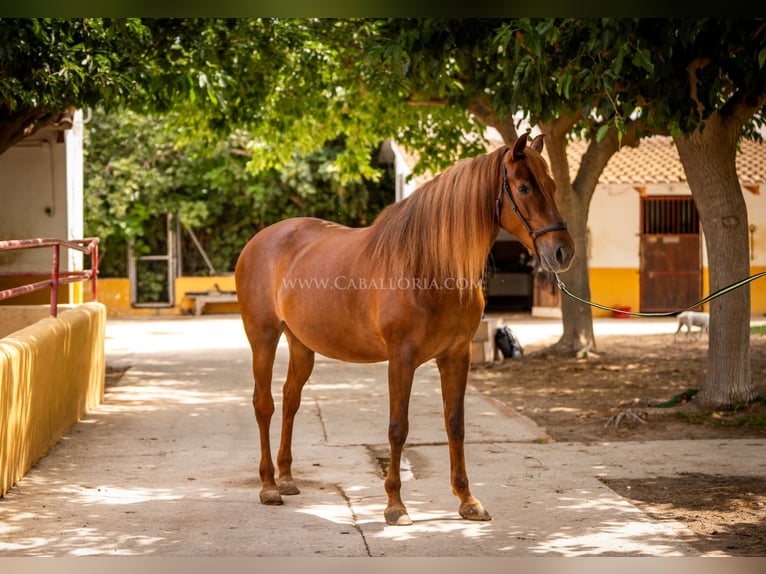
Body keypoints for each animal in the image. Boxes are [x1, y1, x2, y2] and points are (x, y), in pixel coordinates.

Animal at [237, 134, 572, 528]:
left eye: (552, 186)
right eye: (523, 187)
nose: (563, 252)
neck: (428, 265)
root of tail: (259, 240)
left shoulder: (456, 356)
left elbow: (455, 423)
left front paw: (467, 500)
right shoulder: (401, 359)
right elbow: (398, 427)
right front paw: (395, 505)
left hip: (301, 344)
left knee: (291, 399)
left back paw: (287, 478)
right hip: (263, 337)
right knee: (264, 405)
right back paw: (268, 486)